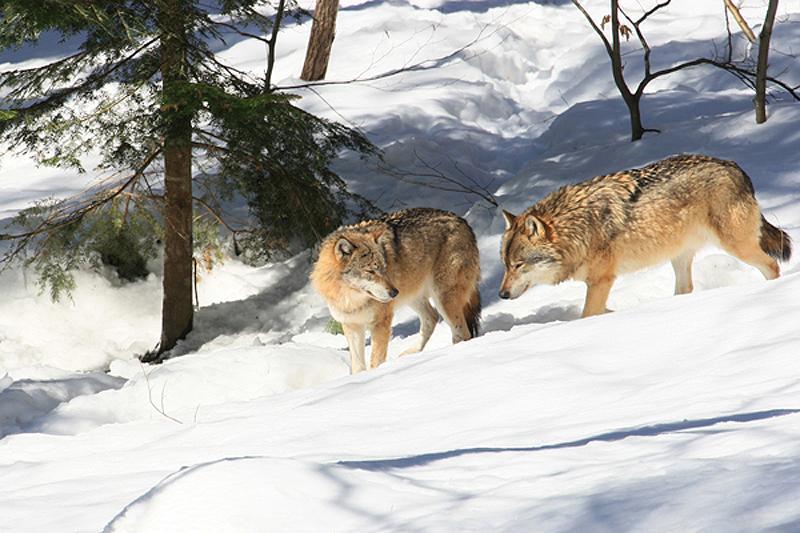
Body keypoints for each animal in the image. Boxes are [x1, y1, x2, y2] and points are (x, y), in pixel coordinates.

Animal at [310, 206, 478, 372]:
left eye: (384, 268)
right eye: (370, 271)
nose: (394, 292)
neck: (350, 299)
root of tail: (462, 221)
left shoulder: (381, 323)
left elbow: (375, 361)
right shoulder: (352, 326)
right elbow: (358, 366)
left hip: (443, 298)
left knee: (463, 332)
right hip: (414, 298)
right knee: (432, 317)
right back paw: (411, 354)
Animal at [500, 156, 792, 318]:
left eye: (518, 265)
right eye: (506, 265)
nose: (501, 294)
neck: (579, 228)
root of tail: (735, 167)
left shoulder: (601, 281)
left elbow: (587, 315)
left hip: (735, 245)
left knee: (772, 265)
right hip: (679, 257)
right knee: (685, 289)